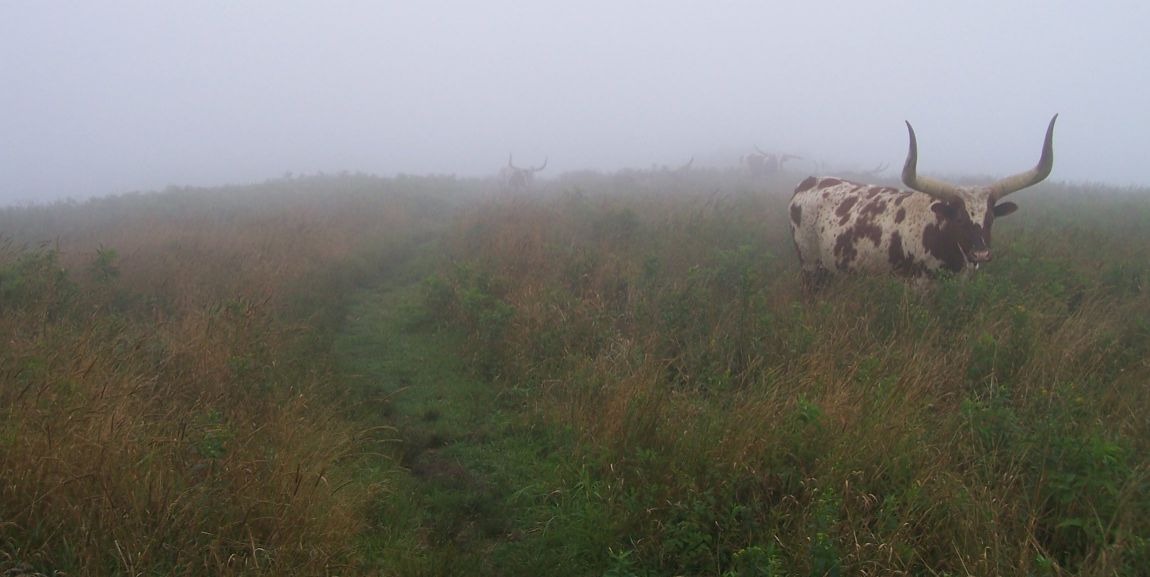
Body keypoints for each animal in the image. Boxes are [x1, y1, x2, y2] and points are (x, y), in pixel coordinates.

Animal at [791, 113, 1058, 285]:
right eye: (959, 219)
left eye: (991, 218)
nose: (981, 254)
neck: (940, 231)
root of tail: (809, 181)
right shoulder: (919, 285)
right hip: (809, 263)